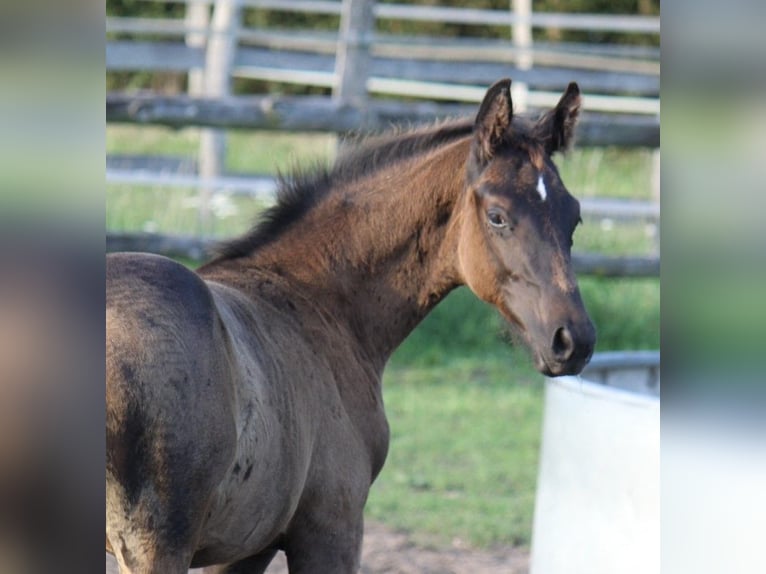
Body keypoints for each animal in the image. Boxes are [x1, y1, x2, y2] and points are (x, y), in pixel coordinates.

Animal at [105, 79, 596, 572]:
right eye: (497, 216)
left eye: (573, 216)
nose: (573, 340)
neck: (318, 305)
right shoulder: (331, 528)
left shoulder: (248, 545)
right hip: (157, 545)